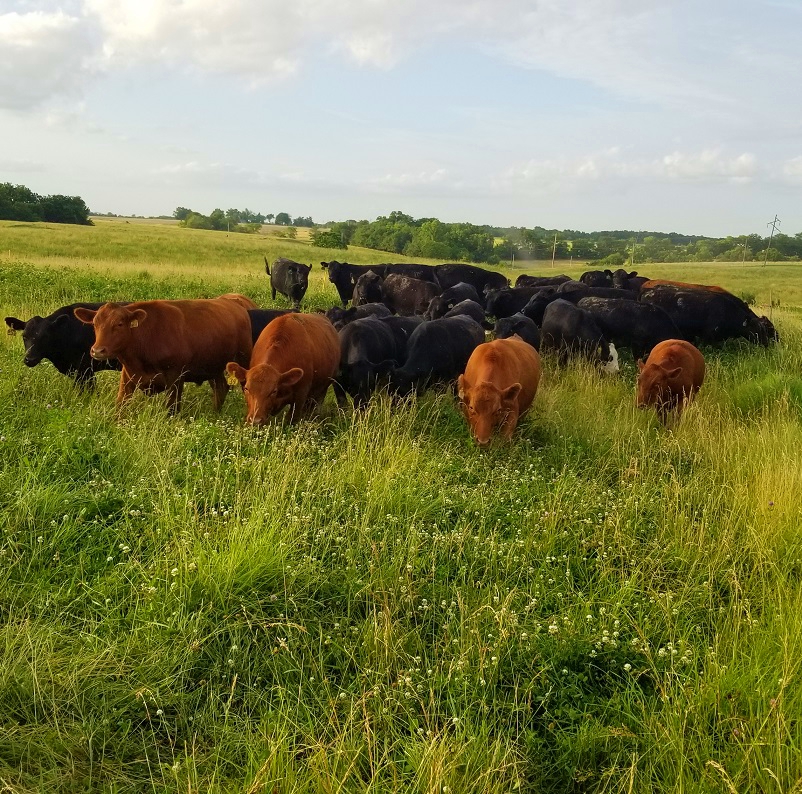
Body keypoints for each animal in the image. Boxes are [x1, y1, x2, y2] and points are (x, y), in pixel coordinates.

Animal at [74, 294, 252, 412]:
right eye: (95, 323)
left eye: (119, 324)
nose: (98, 350)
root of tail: (235, 303)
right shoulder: (127, 377)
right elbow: (120, 406)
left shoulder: (176, 378)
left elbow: (171, 410)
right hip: (213, 367)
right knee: (220, 388)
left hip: (243, 359)